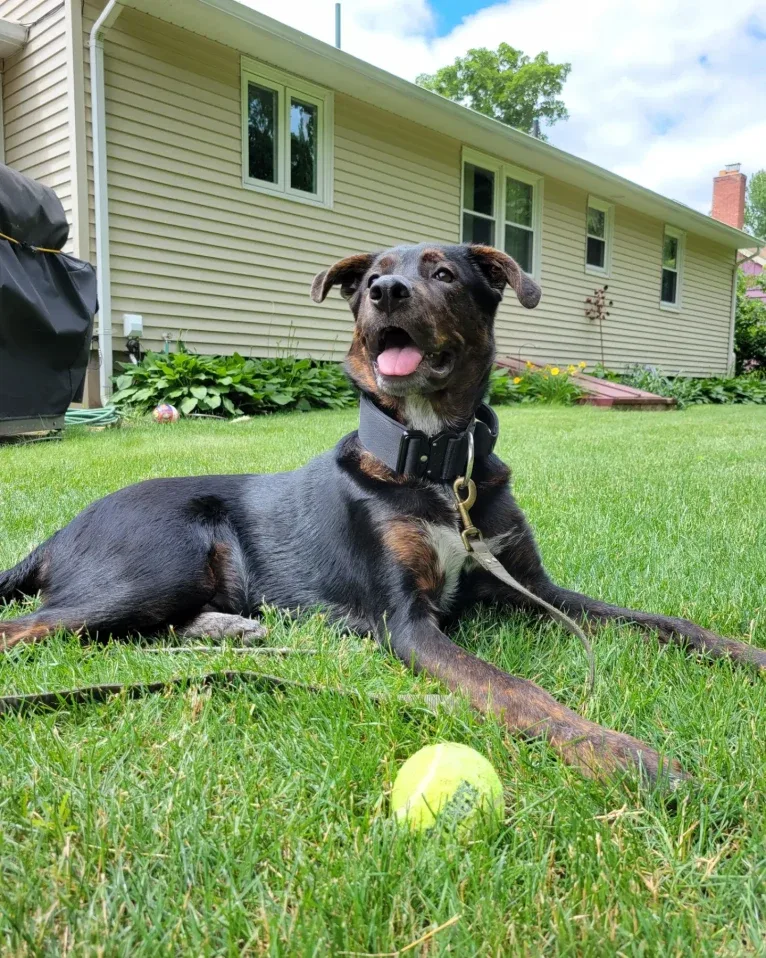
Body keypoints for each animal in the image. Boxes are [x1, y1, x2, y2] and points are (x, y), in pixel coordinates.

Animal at [0, 242, 764, 788]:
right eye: (373, 275)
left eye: (445, 273)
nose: (385, 293)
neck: (436, 466)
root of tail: (59, 532)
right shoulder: (407, 622)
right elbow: (514, 688)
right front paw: (619, 752)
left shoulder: (534, 587)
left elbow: (666, 622)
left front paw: (746, 655)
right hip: (159, 561)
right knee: (39, 629)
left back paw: (225, 628)